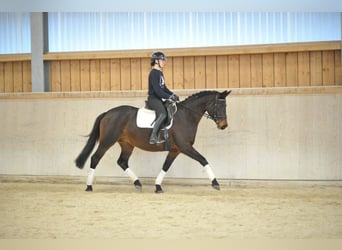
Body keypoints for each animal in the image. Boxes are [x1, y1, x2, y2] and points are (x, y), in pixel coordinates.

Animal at [74, 90, 230, 193]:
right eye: (220, 106)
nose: (224, 125)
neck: (186, 116)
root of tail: (107, 113)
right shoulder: (185, 147)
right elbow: (203, 160)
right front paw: (215, 183)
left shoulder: (175, 150)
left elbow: (165, 166)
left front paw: (158, 186)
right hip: (107, 141)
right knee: (95, 158)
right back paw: (89, 186)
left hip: (127, 144)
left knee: (122, 162)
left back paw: (137, 183)